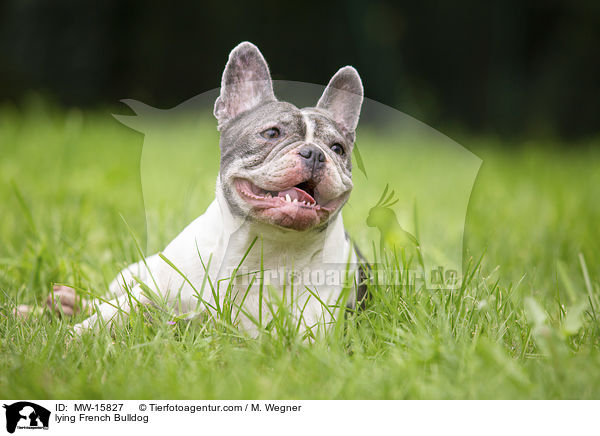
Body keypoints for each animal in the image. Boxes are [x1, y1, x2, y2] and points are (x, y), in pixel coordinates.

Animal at [51, 42, 368, 338]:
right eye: (272, 133)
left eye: (338, 149)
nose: (315, 154)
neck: (265, 245)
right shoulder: (153, 292)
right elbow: (113, 311)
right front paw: (72, 338)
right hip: (136, 270)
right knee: (106, 297)